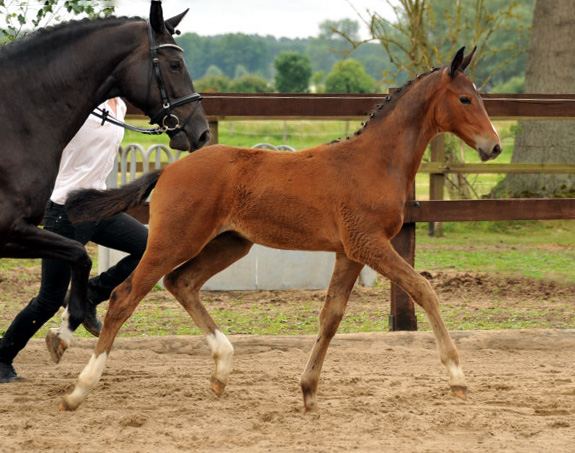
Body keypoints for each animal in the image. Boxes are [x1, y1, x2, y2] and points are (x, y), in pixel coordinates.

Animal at [0, 0, 210, 360]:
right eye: (175, 64)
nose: (202, 132)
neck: (17, 116)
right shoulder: (9, 230)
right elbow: (81, 255)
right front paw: (67, 328)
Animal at [60, 47, 504, 412]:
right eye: (465, 98)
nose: (494, 146)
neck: (375, 162)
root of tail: (168, 170)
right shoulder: (369, 244)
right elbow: (423, 289)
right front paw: (458, 378)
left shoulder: (348, 251)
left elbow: (331, 316)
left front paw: (308, 390)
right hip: (175, 240)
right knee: (125, 296)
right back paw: (79, 389)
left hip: (229, 244)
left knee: (181, 283)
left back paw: (221, 369)